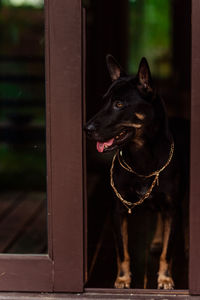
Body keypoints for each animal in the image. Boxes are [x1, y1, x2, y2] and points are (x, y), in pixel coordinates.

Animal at [85, 55, 182, 290]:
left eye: (119, 104)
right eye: (104, 101)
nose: (86, 128)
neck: (142, 159)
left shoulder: (174, 210)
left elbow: (168, 251)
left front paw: (165, 278)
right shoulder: (117, 212)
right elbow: (123, 252)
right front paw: (122, 278)